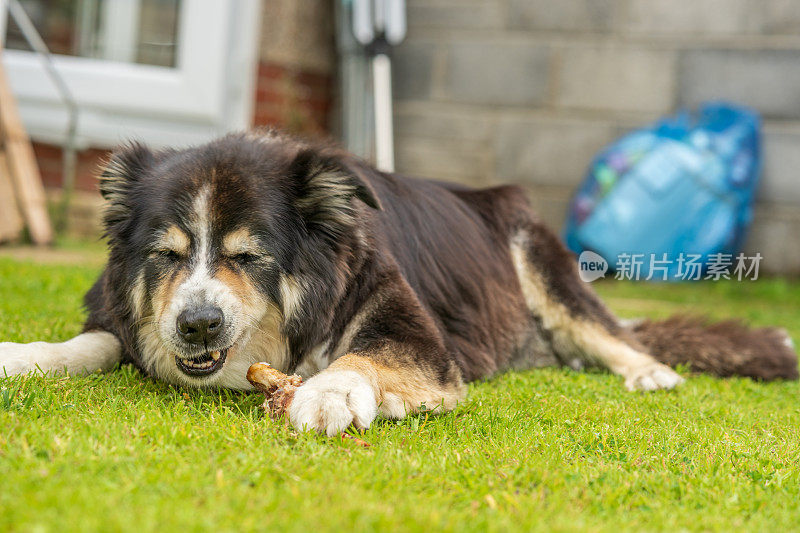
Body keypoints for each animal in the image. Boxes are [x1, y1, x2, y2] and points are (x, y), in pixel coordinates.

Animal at [0, 131, 796, 434]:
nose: (196, 325)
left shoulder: (417, 335)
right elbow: (96, 341)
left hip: (538, 257)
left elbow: (366, 355)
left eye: (250, 257)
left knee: (607, 330)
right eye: (166, 255)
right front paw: (25, 355)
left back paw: (647, 371)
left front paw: (329, 393)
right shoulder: (127, 320)